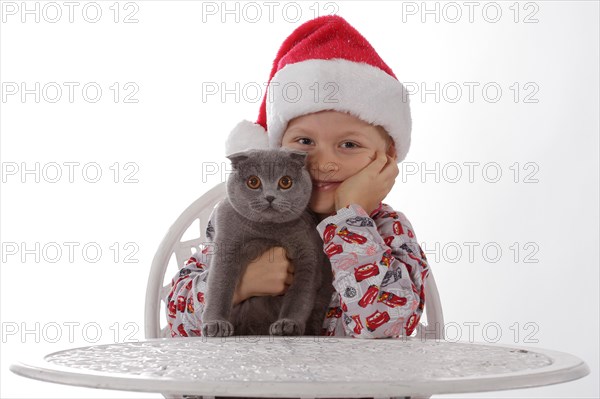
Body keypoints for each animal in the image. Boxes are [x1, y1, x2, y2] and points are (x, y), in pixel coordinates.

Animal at [200, 148, 332, 338]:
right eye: (253, 182)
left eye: (285, 182)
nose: (270, 197)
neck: (267, 231)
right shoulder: (226, 243)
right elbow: (219, 285)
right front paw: (216, 324)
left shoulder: (309, 252)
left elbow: (299, 295)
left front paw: (287, 324)